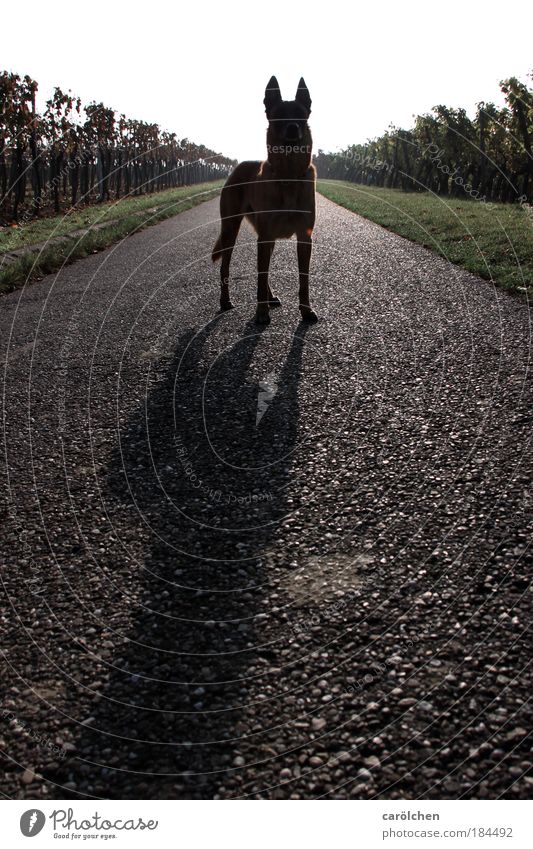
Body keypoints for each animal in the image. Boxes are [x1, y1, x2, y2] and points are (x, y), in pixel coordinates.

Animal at [211, 77, 316, 324]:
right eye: (279, 116)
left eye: (300, 115)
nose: (293, 127)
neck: (288, 175)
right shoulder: (266, 234)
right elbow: (259, 277)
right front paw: (261, 313)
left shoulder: (304, 237)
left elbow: (303, 280)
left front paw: (306, 310)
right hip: (231, 229)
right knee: (226, 267)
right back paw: (225, 301)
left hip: (266, 237)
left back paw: (270, 297)